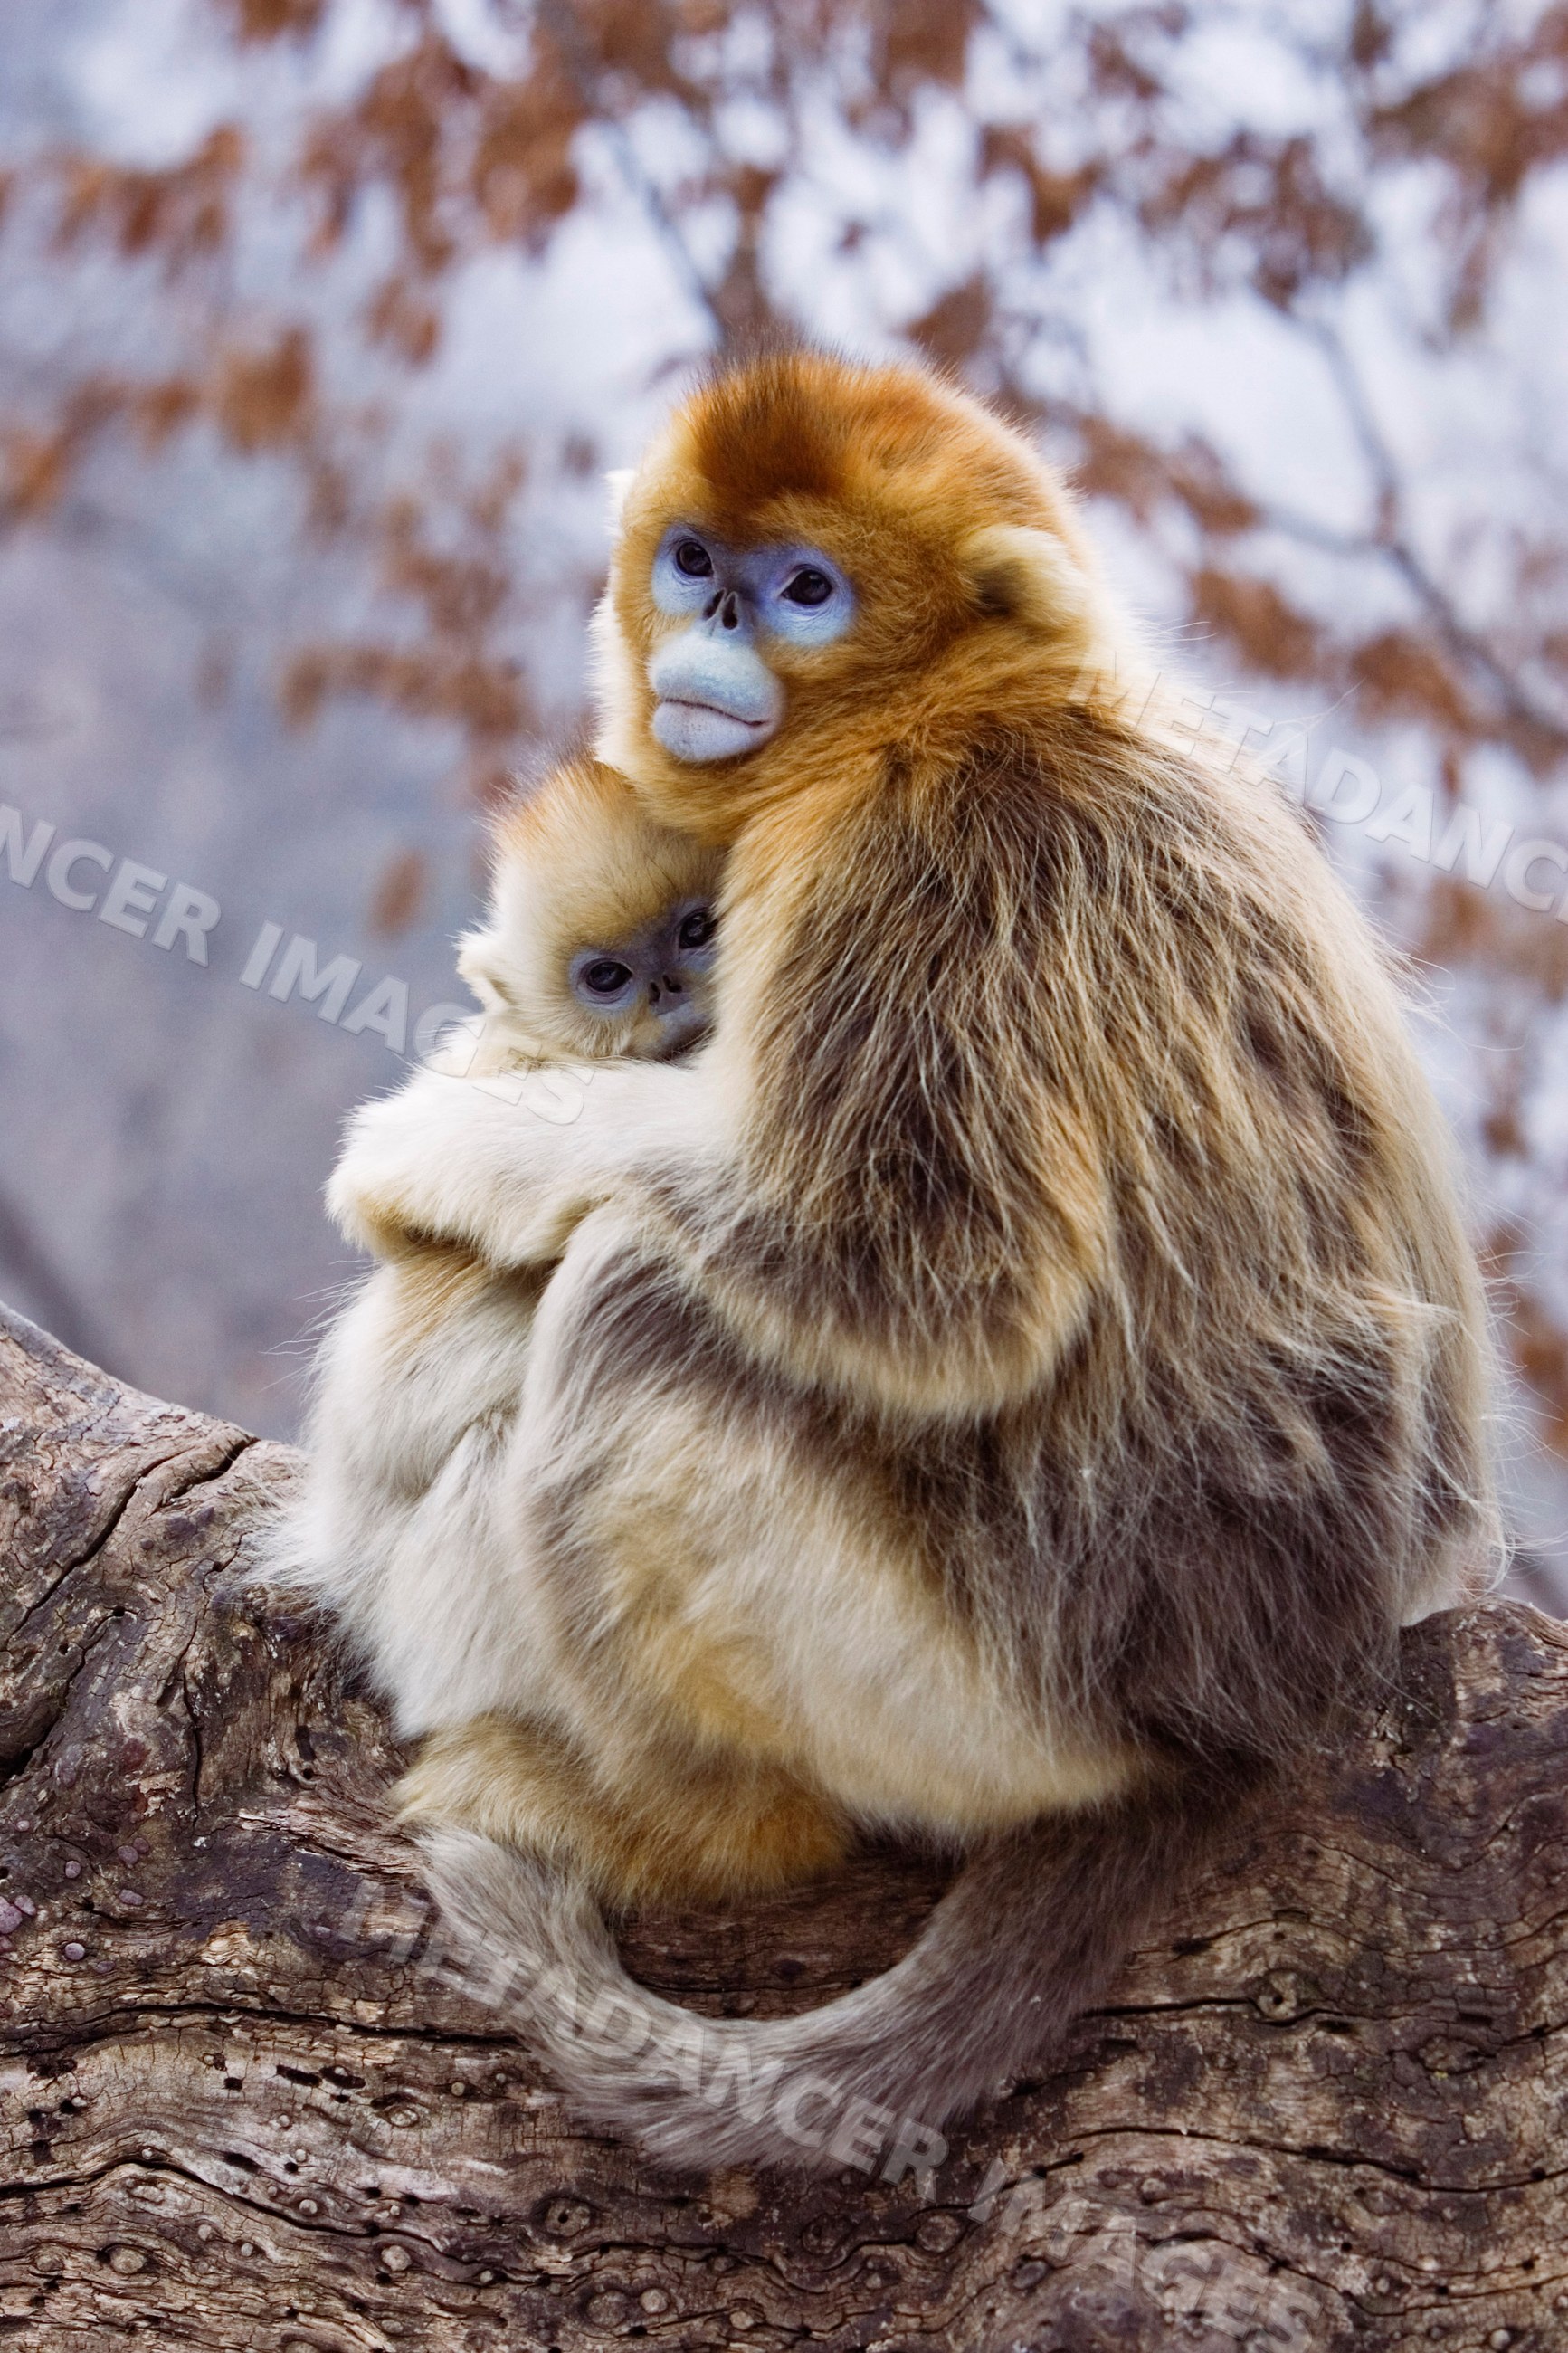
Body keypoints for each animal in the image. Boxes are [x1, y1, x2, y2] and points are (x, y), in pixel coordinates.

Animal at [317, 350, 1501, 2180]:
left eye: (807, 590)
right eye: (695, 561)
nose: (718, 620)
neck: (952, 711)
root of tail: (1262, 1714)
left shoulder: (920, 855)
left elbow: (932, 1279)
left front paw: (452, 1145)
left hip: (990, 1707)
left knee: (636, 1308)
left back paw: (691, 1828)